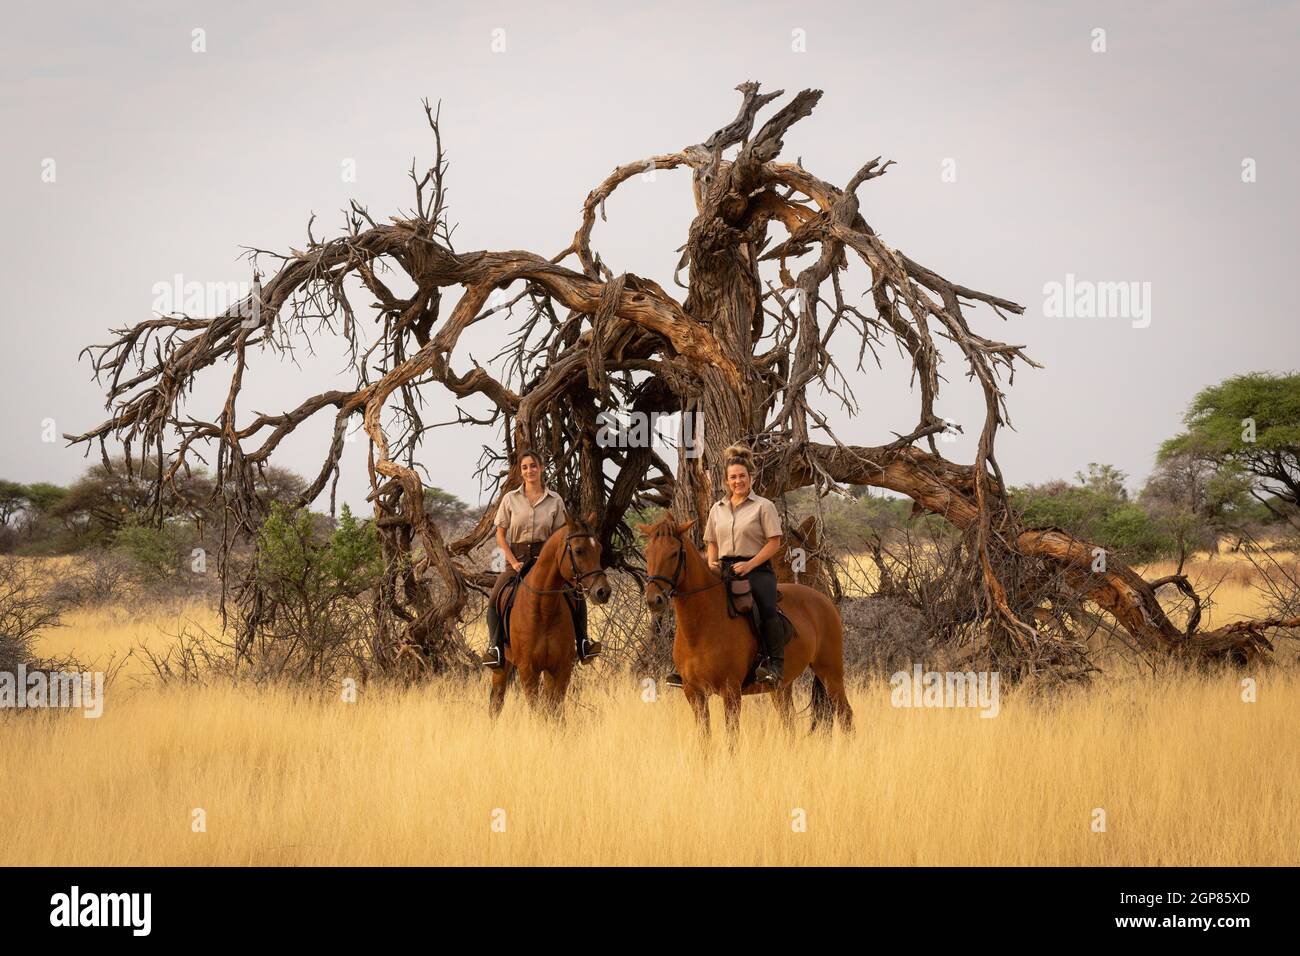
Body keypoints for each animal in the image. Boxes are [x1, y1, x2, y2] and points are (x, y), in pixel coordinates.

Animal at [488, 512, 611, 723]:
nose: (603, 592)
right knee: (496, 701)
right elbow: (538, 711)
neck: (543, 609)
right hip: (502, 666)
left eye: (600, 549)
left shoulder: (560, 668)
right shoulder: (528, 670)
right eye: (578, 550)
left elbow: (554, 711)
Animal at [637, 515, 852, 738]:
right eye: (647, 552)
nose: (654, 600)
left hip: (830, 673)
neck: (700, 628)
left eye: (673, 553)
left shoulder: (731, 691)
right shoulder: (694, 693)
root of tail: (825, 601)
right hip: (782, 686)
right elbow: (705, 738)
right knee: (789, 723)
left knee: (845, 714)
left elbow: (732, 736)